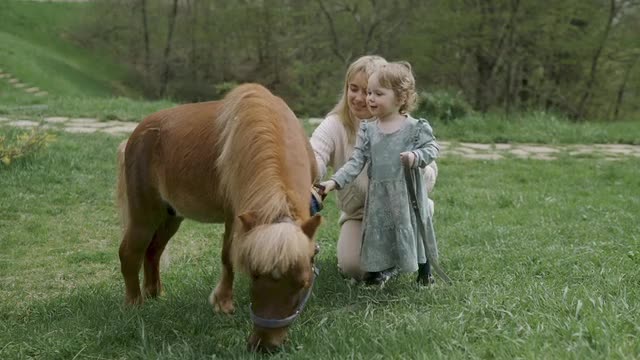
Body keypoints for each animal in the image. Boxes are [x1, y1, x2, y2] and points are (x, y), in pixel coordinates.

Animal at [116, 83, 320, 352]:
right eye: (254, 276)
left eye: (303, 283)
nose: (264, 345)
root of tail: (136, 134)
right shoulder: (234, 216)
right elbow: (227, 256)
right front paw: (223, 304)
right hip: (145, 215)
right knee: (130, 252)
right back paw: (134, 304)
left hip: (171, 217)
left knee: (153, 252)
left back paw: (155, 295)